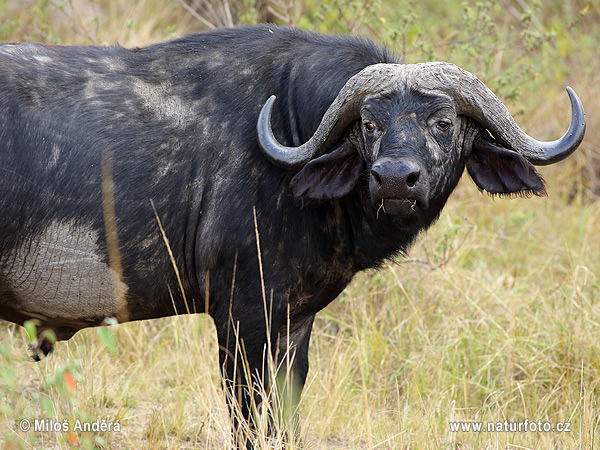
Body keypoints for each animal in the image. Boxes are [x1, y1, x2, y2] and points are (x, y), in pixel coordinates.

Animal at [0, 23, 584, 446]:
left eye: (443, 122)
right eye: (369, 124)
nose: (395, 177)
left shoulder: (293, 325)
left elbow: (285, 415)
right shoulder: (241, 318)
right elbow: (246, 417)